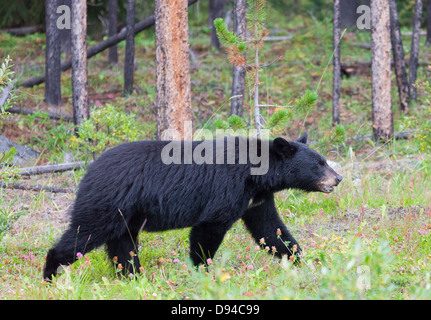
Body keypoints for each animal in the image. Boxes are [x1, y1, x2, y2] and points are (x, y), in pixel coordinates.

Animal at [43, 132, 340, 280]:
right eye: (319, 164)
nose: (338, 178)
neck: (257, 176)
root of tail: (87, 171)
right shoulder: (228, 187)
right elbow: (209, 228)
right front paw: (201, 271)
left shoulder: (256, 199)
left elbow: (271, 231)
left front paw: (303, 260)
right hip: (108, 202)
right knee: (83, 235)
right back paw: (50, 273)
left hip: (125, 214)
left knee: (122, 246)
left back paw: (132, 276)